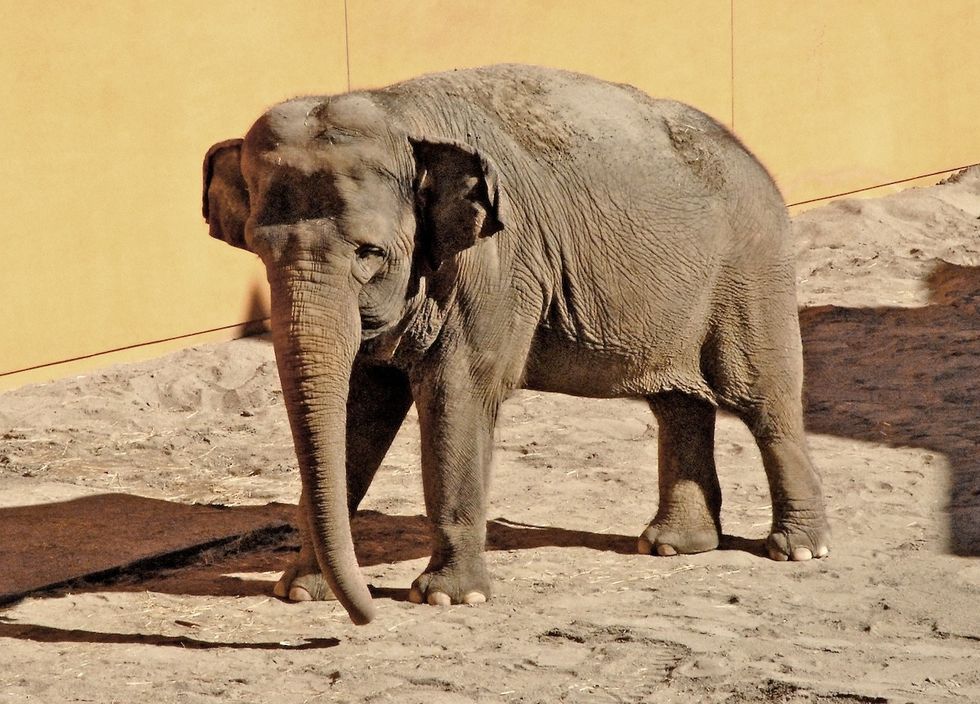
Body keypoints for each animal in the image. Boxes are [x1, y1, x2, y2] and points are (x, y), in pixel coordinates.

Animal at [203, 64, 830, 625]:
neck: (395, 112)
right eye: (260, 249)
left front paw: (447, 599)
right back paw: (674, 545)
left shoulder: (494, 268)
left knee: (763, 401)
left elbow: (456, 396)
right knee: (679, 403)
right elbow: (362, 410)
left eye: (370, 252)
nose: (367, 616)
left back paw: (797, 550)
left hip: (751, 272)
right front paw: (299, 592)